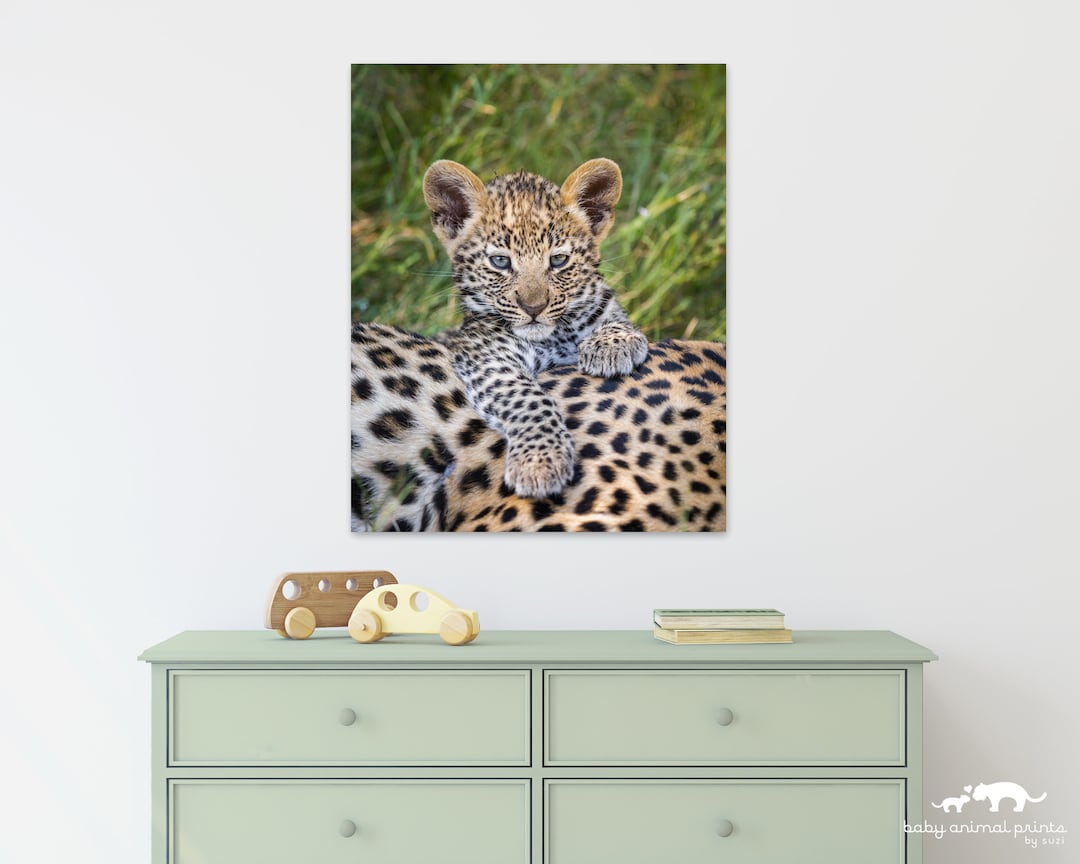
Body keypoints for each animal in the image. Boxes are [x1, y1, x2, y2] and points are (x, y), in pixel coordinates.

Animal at [421, 158, 649, 499]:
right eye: (500, 262)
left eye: (558, 260)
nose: (533, 307)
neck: (557, 337)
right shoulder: (486, 356)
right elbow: (528, 399)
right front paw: (540, 462)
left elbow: (609, 313)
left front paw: (612, 345)